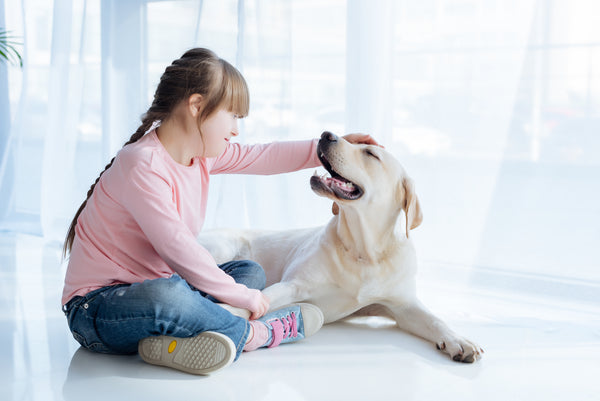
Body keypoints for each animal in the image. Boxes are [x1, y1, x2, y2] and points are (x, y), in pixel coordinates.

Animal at [199, 132, 486, 362]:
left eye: (370, 153)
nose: (327, 134)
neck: (363, 252)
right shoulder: (293, 285)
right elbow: (256, 300)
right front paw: (225, 310)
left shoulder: (403, 305)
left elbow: (434, 318)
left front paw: (459, 340)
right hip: (221, 247)